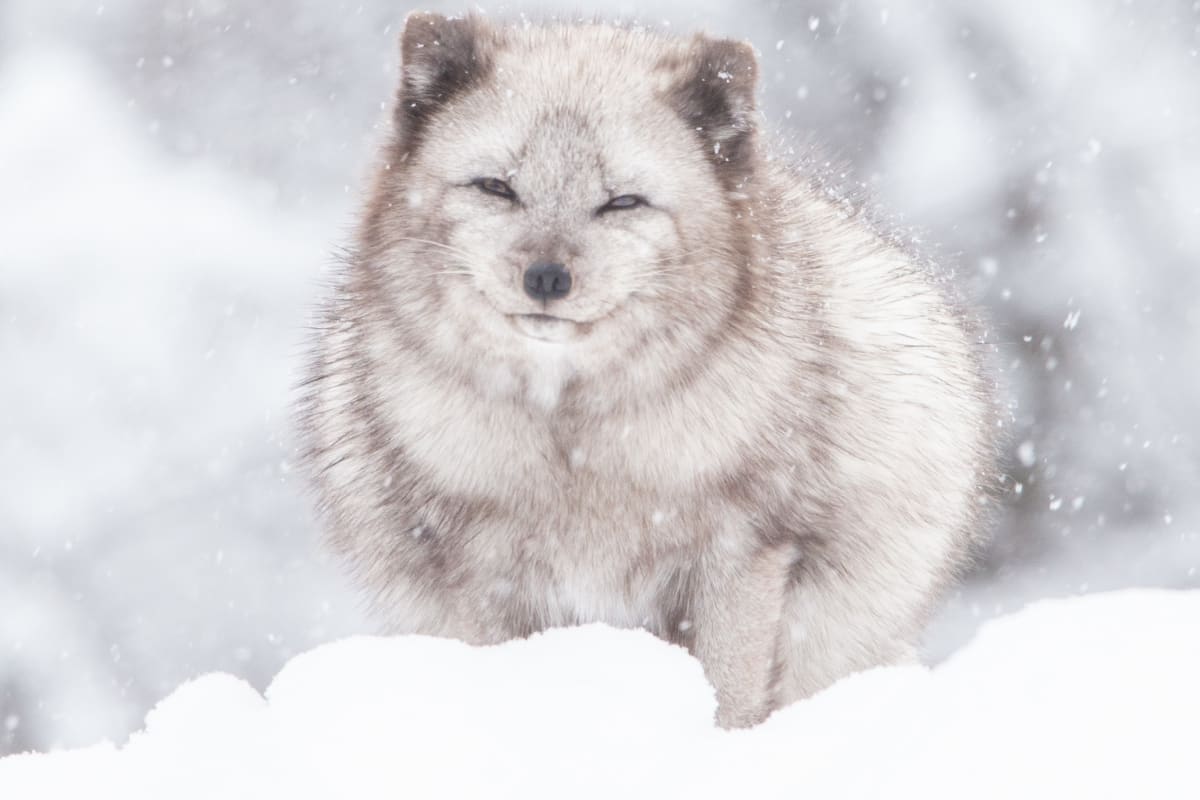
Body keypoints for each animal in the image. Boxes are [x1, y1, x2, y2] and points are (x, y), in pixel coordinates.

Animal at [298, 12, 997, 728]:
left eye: (623, 202)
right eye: (496, 187)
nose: (545, 278)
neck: (575, 447)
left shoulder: (741, 555)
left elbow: (730, 695)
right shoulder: (482, 569)